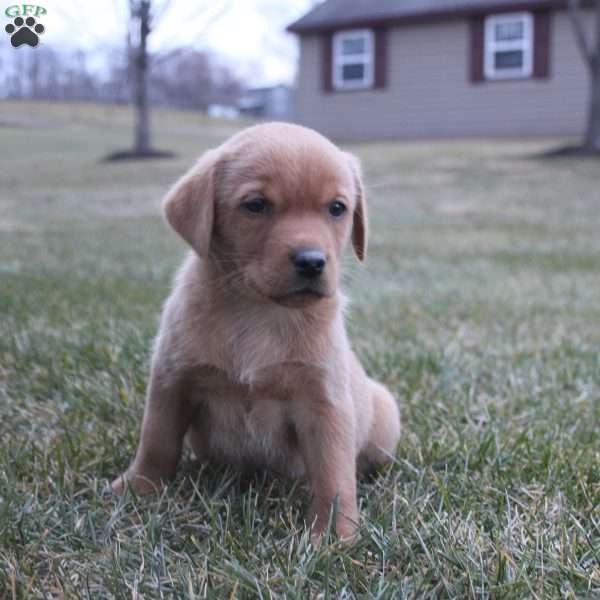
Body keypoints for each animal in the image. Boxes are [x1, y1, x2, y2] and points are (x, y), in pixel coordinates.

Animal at [112, 122, 404, 540]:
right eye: (256, 205)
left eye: (337, 208)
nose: (312, 261)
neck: (260, 311)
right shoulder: (172, 379)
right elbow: (157, 441)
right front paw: (137, 487)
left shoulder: (323, 401)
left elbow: (333, 475)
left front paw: (334, 534)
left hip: (385, 412)